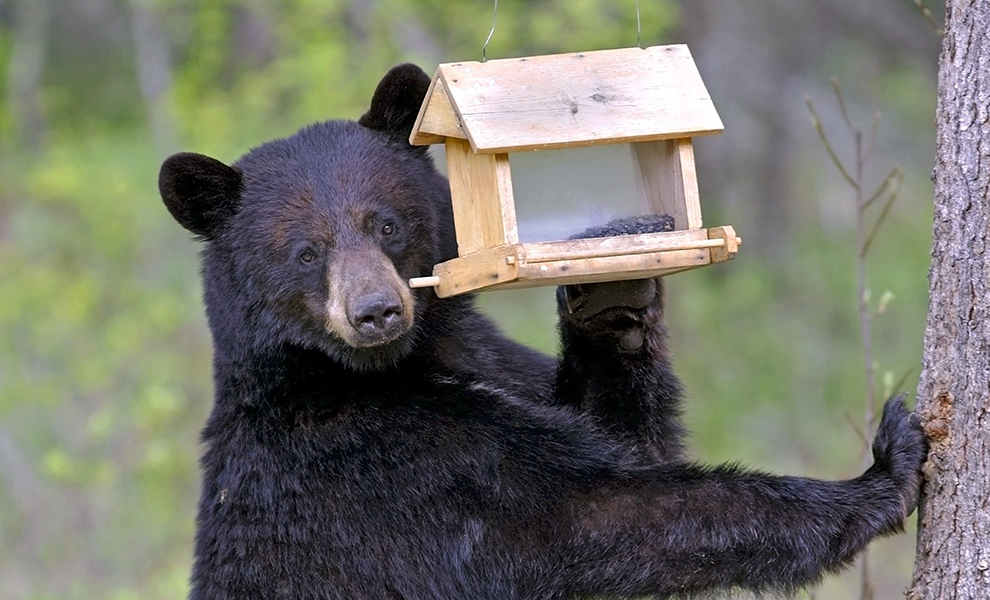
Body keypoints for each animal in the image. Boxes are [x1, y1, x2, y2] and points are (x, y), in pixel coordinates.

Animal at [161, 63, 928, 596]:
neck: (386, 368)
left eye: (386, 224)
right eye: (305, 253)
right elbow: (601, 512)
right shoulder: (386, 469)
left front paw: (612, 289)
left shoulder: (492, 360)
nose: (376, 311)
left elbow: (623, 437)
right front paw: (882, 473)